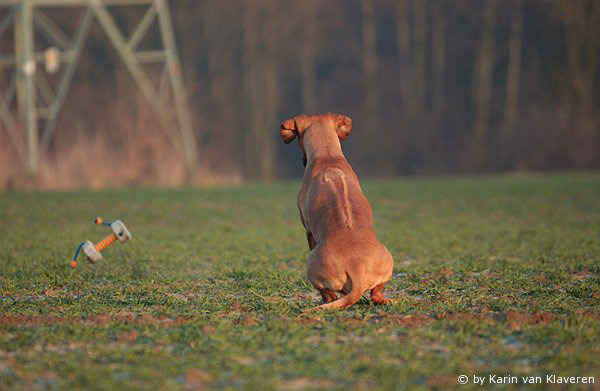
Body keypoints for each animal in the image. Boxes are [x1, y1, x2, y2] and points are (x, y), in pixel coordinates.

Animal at [280, 113, 394, 310]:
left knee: (328, 294)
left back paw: (326, 300)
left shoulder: (308, 231)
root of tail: (356, 267)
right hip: (388, 258)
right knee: (376, 294)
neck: (327, 154)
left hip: (311, 263)